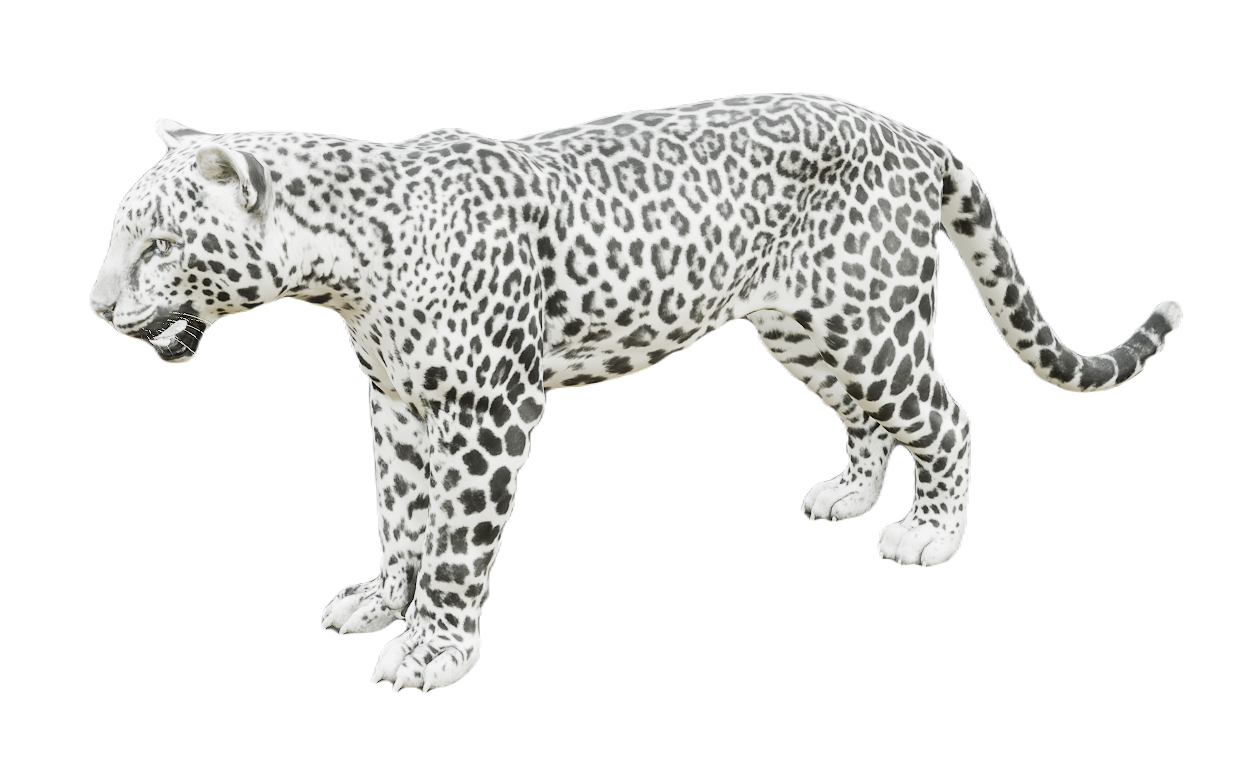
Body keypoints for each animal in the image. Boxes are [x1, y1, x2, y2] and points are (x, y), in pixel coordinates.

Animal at [89, 93, 1182, 692]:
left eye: (158, 243)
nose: (96, 307)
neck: (345, 262)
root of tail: (916, 136)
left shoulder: (490, 410)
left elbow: (456, 542)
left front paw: (434, 647)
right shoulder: (395, 407)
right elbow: (400, 514)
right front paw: (379, 599)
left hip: (871, 320)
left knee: (948, 417)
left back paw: (928, 534)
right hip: (806, 329)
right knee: (870, 418)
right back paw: (849, 494)